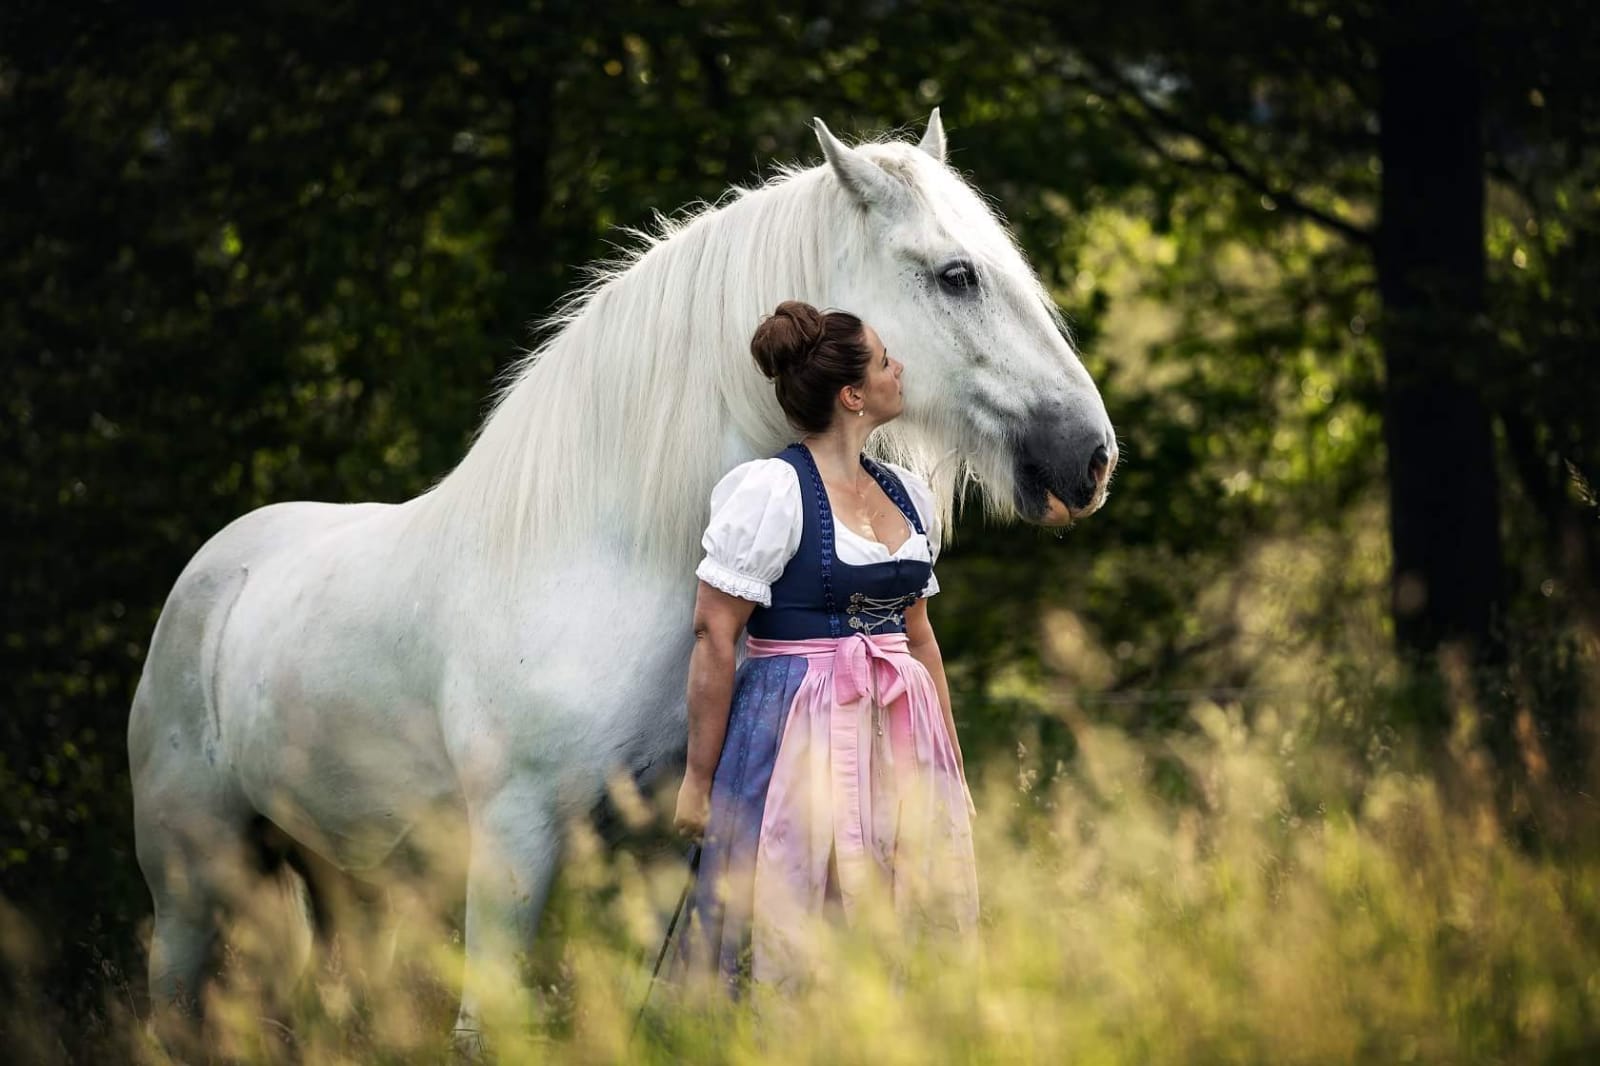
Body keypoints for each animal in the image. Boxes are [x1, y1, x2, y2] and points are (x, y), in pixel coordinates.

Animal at [128, 112, 1113, 1043]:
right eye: (957, 276)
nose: (1091, 456)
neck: (608, 563)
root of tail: (214, 570)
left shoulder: (665, 848)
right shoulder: (513, 842)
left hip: (336, 879)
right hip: (192, 881)